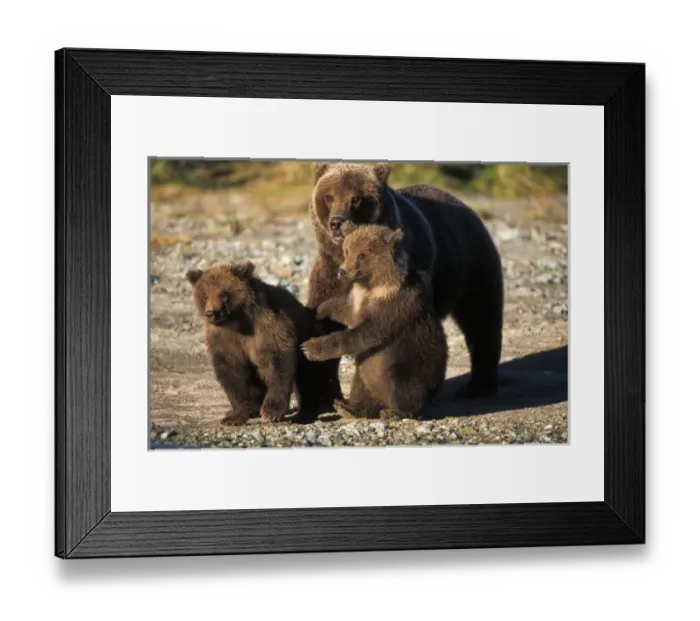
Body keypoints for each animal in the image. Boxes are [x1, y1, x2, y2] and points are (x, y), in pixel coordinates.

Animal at [186, 262, 335, 425]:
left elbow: (278, 362)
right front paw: (234, 415)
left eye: (223, 294)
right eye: (205, 295)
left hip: (306, 337)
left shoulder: (267, 327)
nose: (211, 313)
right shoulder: (224, 338)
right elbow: (231, 371)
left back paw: (304, 412)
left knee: (307, 376)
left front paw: (271, 412)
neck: (238, 320)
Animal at [302, 225, 448, 421]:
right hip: (367, 373)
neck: (371, 286)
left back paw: (394, 412)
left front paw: (310, 348)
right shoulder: (357, 301)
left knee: (402, 386)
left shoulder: (393, 307)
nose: (342, 271)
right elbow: (340, 308)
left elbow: (365, 334)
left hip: (409, 366)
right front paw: (316, 311)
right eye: (347, 251)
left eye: (362, 255)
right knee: (361, 385)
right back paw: (348, 408)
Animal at [307, 161, 504, 398]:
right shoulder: (329, 277)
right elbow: (323, 316)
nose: (337, 222)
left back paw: (477, 386)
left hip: (472, 265)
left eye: (356, 198)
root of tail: (469, 208)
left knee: (481, 318)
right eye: (329, 196)